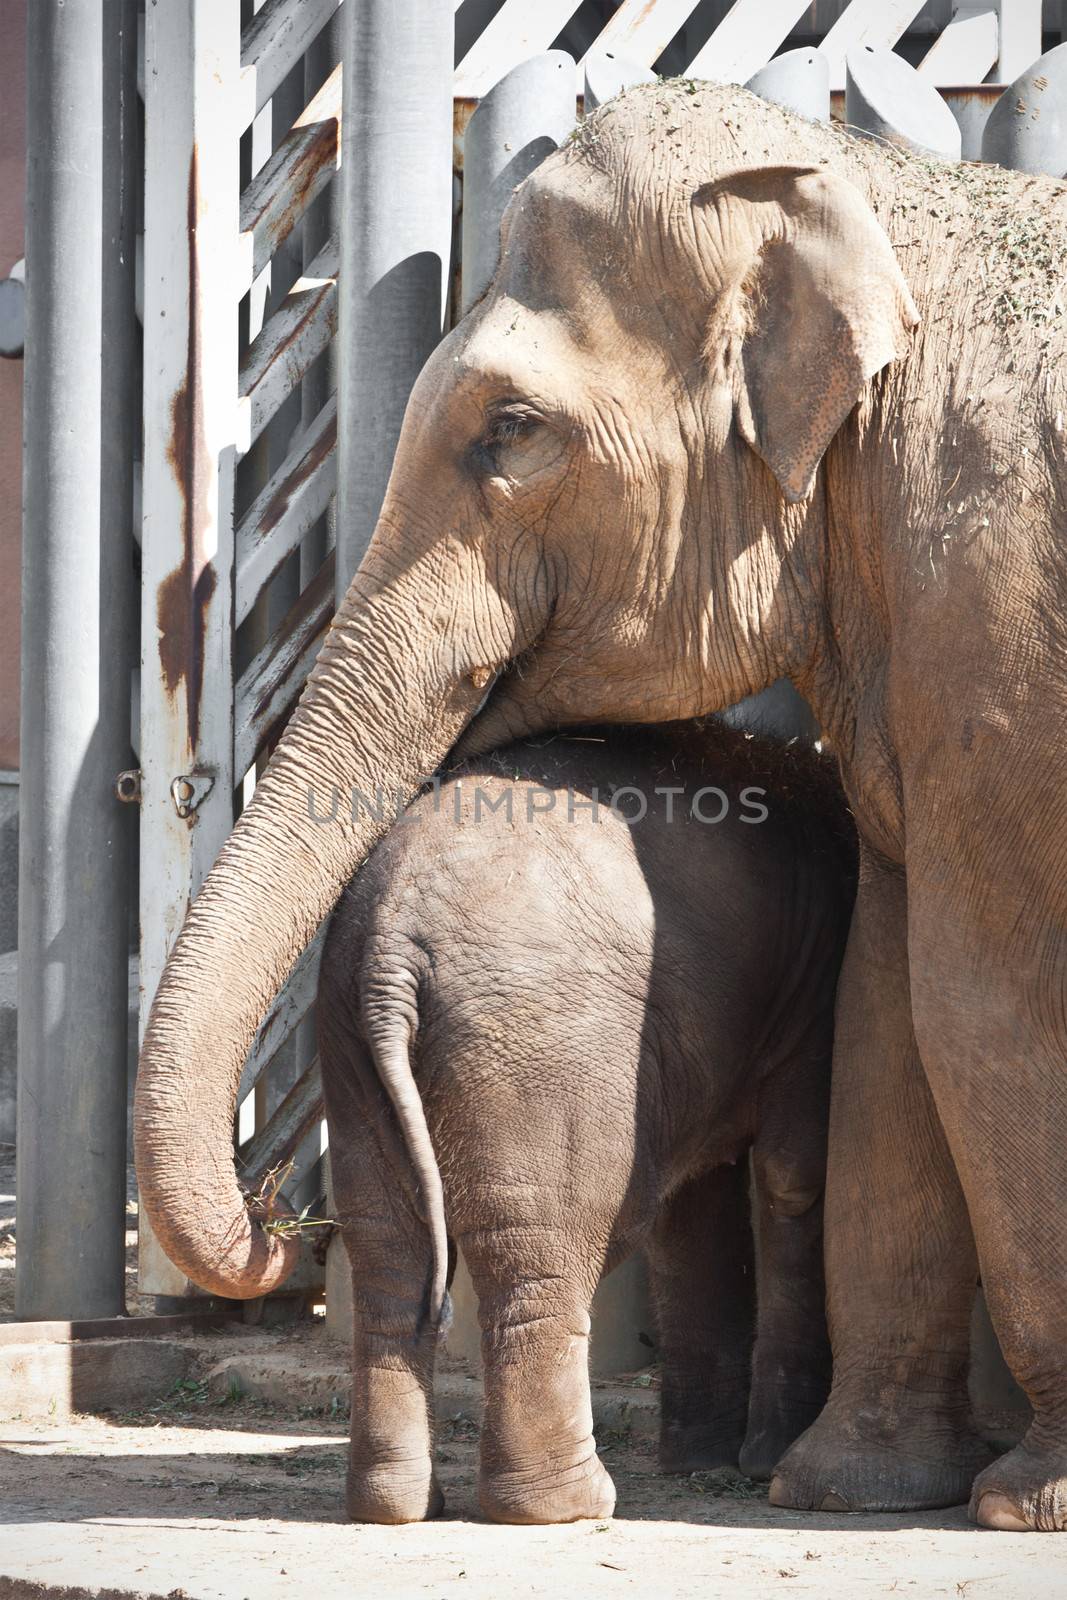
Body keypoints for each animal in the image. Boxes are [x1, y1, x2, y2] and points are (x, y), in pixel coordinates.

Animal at [321, 723, 857, 1523]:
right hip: (542, 1044)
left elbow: (696, 1205)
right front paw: (762, 1463)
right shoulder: (814, 989)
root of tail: (390, 953)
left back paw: (397, 1506)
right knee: (550, 1235)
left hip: (348, 1036)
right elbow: (794, 1174)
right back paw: (569, 1504)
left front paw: (703, 1464)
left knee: (388, 1246)